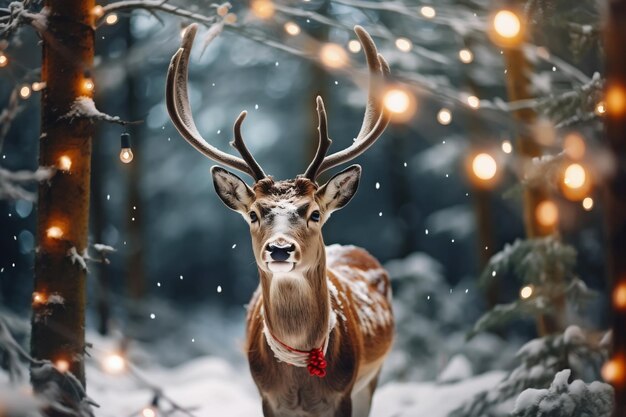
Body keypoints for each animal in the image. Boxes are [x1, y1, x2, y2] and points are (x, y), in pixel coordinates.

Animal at [166, 24, 390, 416]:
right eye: (254, 214)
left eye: (314, 212)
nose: (280, 249)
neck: (300, 380)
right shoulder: (266, 398)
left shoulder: (344, 394)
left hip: (371, 379)